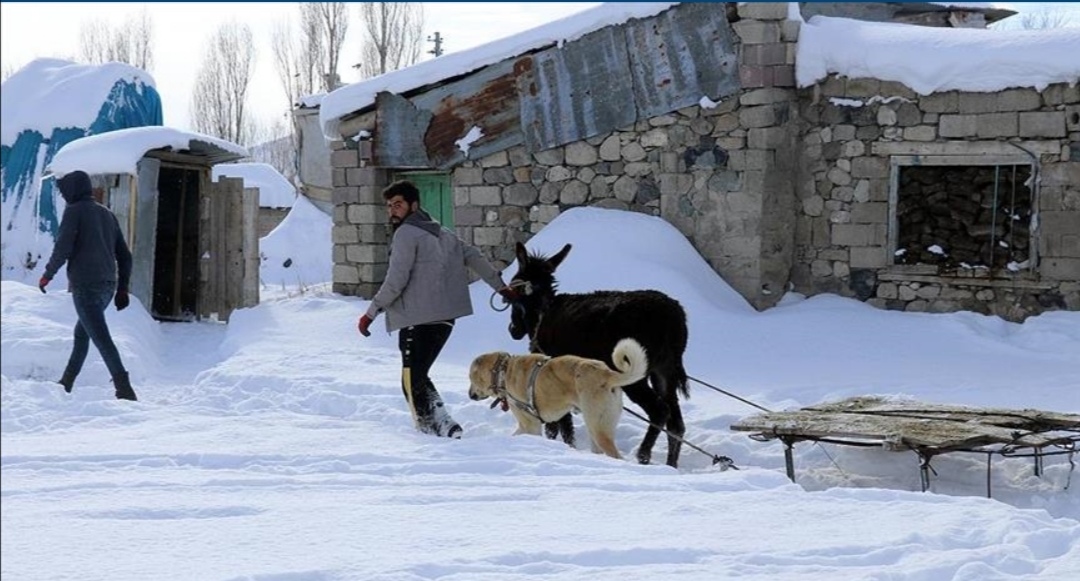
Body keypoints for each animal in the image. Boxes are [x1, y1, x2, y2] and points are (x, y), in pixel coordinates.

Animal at [468, 338, 648, 459]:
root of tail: (606, 373)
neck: (503, 372)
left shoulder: (529, 423)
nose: (470, 395)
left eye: (470, 378)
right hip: (594, 425)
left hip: (599, 427)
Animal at [506, 241, 691, 468]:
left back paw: (643, 455)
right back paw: (671, 464)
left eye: (511, 289)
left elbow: (559, 425)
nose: (513, 330)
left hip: (635, 374)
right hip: (664, 371)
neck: (542, 312)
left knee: (660, 410)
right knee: (676, 424)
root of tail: (673, 319)